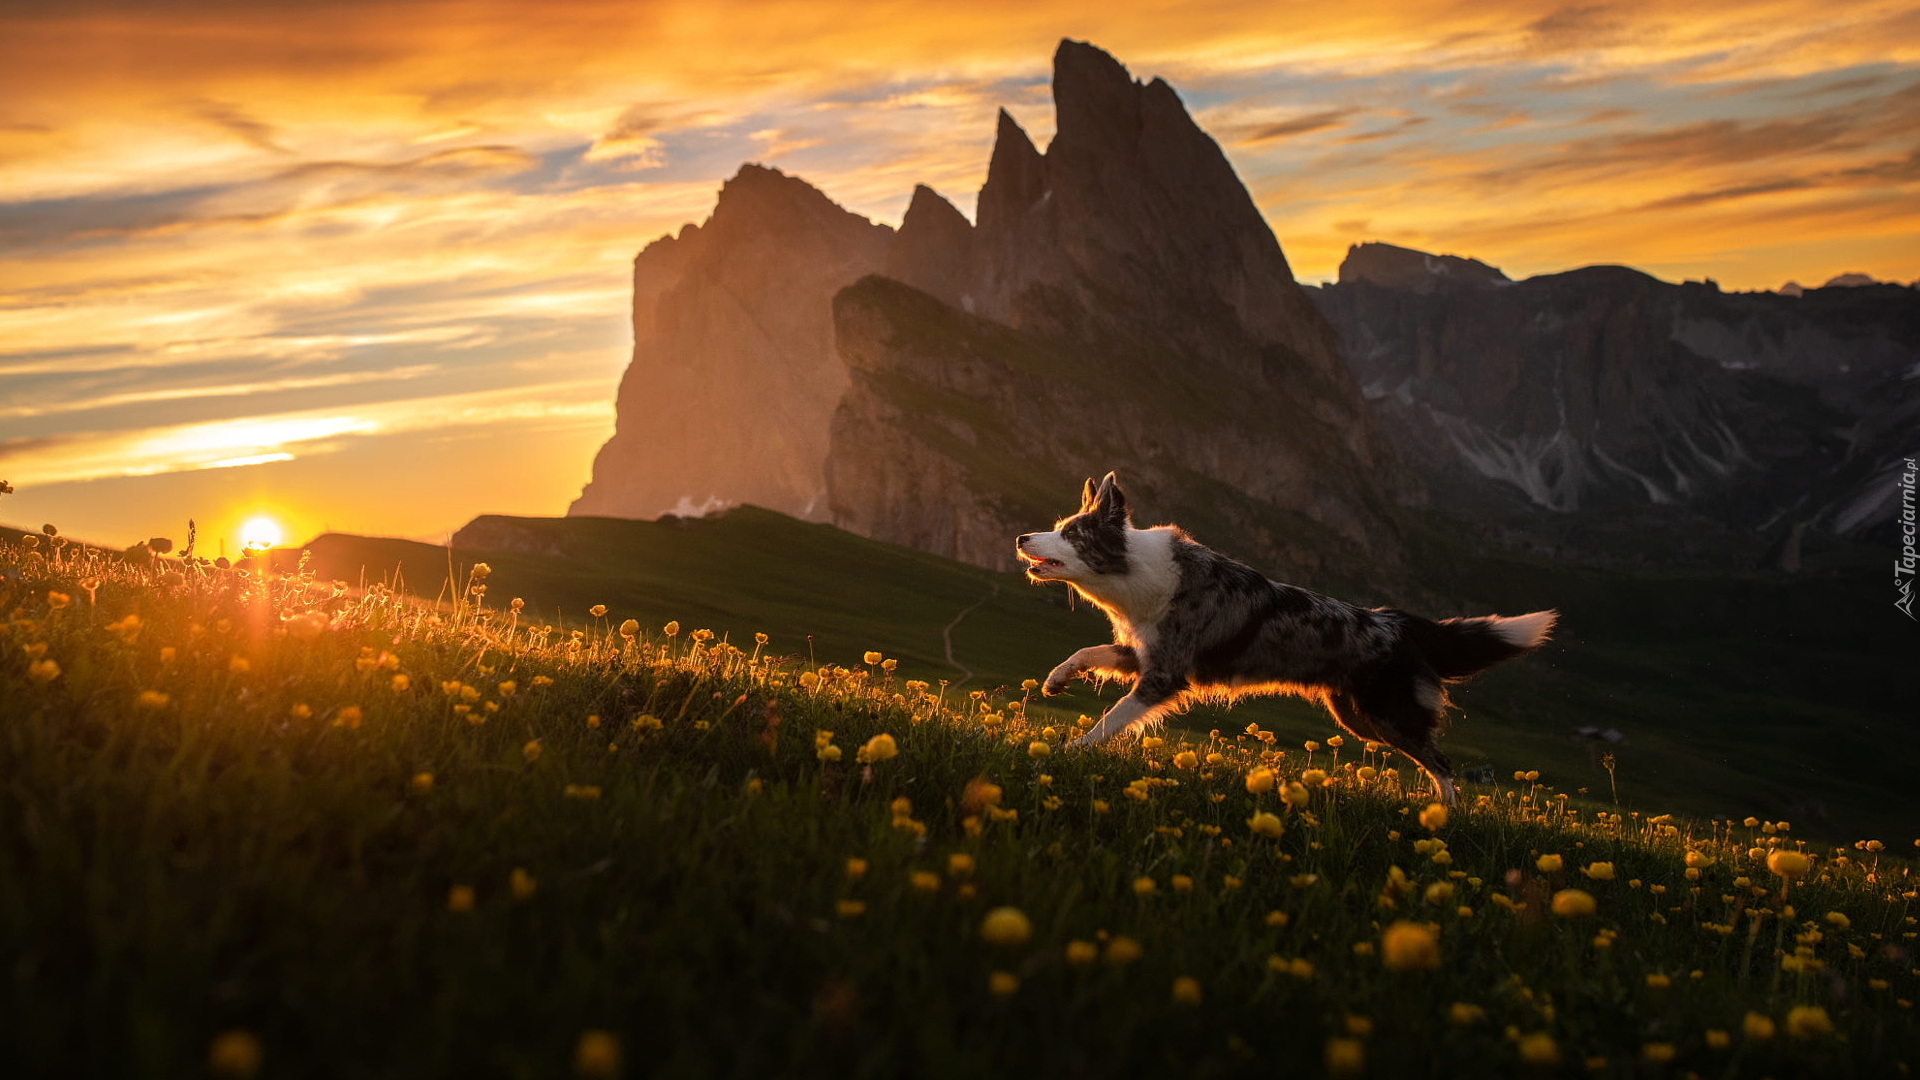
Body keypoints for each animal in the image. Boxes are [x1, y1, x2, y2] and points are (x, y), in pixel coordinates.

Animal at [1013, 470, 1551, 799]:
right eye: (1059, 527)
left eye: (1071, 534)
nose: (1021, 537)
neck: (1135, 572)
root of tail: (1396, 622)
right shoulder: (1144, 652)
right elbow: (1088, 650)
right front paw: (1056, 680)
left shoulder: (1164, 675)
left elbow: (1111, 721)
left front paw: (1070, 751)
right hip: (1356, 716)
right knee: (1431, 757)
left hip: (1389, 713)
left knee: (1441, 762)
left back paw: (1446, 817)